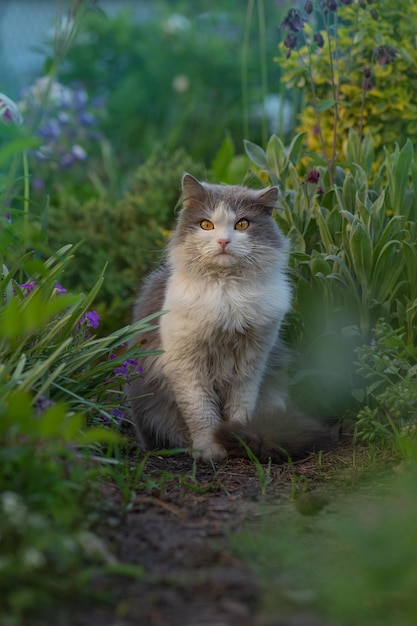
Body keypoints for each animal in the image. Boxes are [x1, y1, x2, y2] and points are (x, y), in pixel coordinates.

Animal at [125, 173, 334, 460]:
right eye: (206, 224)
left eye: (242, 224)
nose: (223, 241)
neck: (227, 296)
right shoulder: (187, 366)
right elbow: (201, 413)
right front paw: (209, 450)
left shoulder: (251, 363)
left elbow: (240, 408)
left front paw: (237, 439)